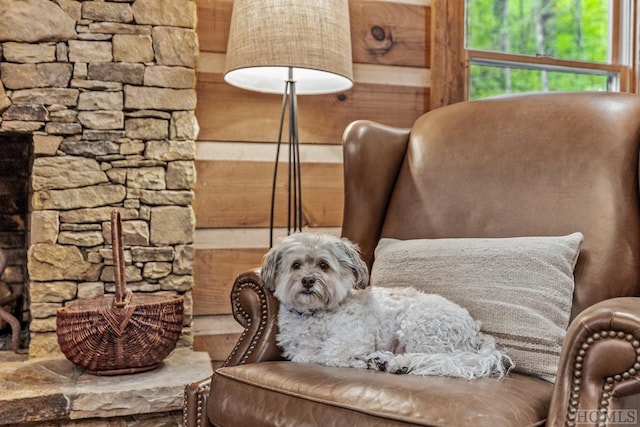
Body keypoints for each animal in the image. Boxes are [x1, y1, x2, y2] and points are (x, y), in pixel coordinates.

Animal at [260, 234, 510, 378]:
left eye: (323, 266)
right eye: (296, 265)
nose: (308, 281)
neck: (315, 314)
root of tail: (475, 331)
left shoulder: (354, 338)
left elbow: (330, 354)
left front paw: (357, 362)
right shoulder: (297, 350)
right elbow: (305, 356)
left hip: (421, 326)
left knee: (434, 358)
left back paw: (395, 363)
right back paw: (381, 360)